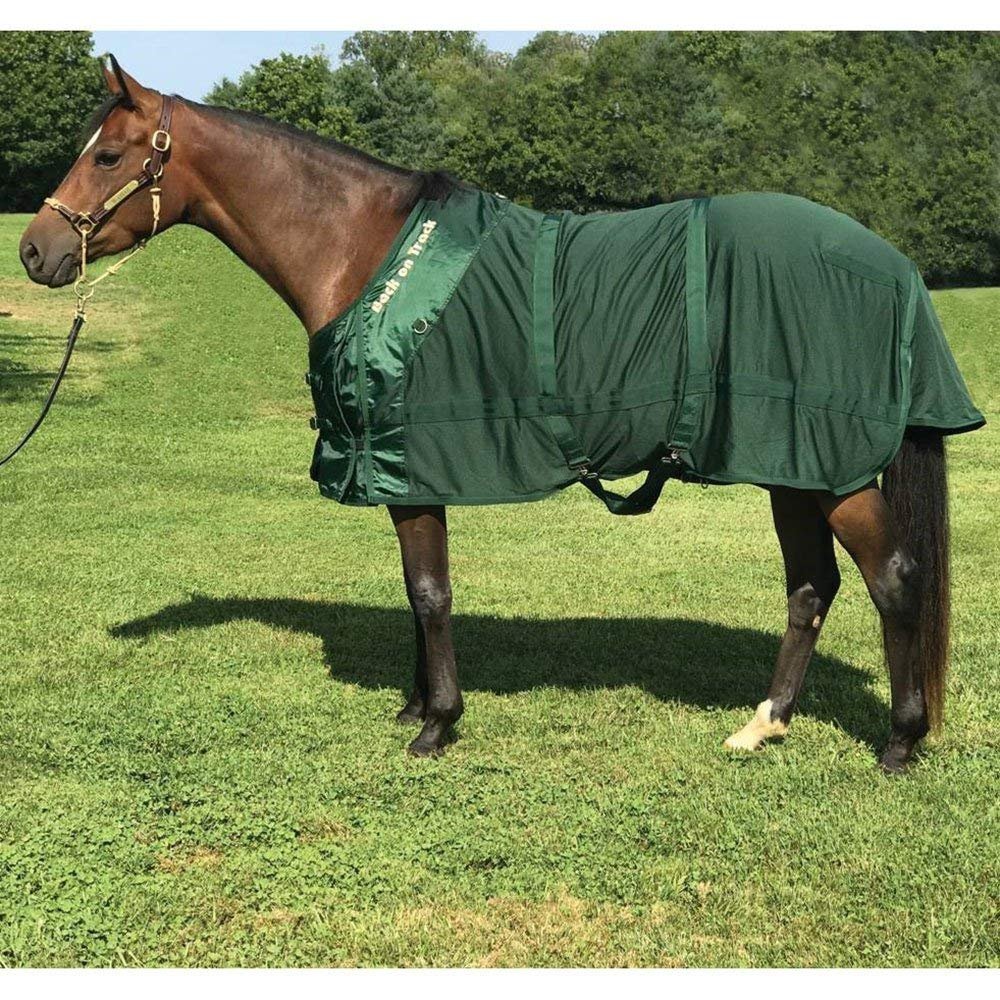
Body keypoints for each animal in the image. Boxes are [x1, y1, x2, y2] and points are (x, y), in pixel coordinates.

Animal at [18, 57, 984, 772]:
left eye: (109, 157)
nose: (35, 250)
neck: (363, 249)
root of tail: (893, 266)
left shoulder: (408, 458)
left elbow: (430, 592)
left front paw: (437, 723)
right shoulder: (407, 466)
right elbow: (416, 590)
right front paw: (417, 701)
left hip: (833, 467)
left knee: (894, 579)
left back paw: (900, 742)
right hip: (792, 463)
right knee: (811, 588)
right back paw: (765, 723)